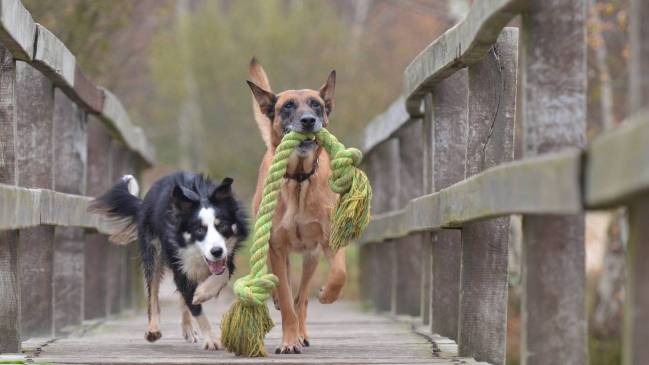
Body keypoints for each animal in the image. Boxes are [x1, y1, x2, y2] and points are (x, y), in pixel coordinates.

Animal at [92, 171, 249, 350]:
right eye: (199, 229)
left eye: (221, 226)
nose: (216, 251)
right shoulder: (178, 261)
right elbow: (195, 307)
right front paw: (211, 339)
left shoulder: (227, 255)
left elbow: (223, 273)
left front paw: (203, 292)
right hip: (152, 250)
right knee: (153, 292)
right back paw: (153, 329)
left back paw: (188, 328)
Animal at [247, 59, 346, 352]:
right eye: (288, 106)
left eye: (316, 104)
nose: (308, 120)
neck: (300, 179)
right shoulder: (277, 247)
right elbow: (286, 298)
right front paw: (289, 341)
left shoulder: (329, 240)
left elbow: (339, 273)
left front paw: (327, 294)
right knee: (288, 293)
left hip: (311, 257)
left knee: (301, 298)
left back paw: (303, 331)